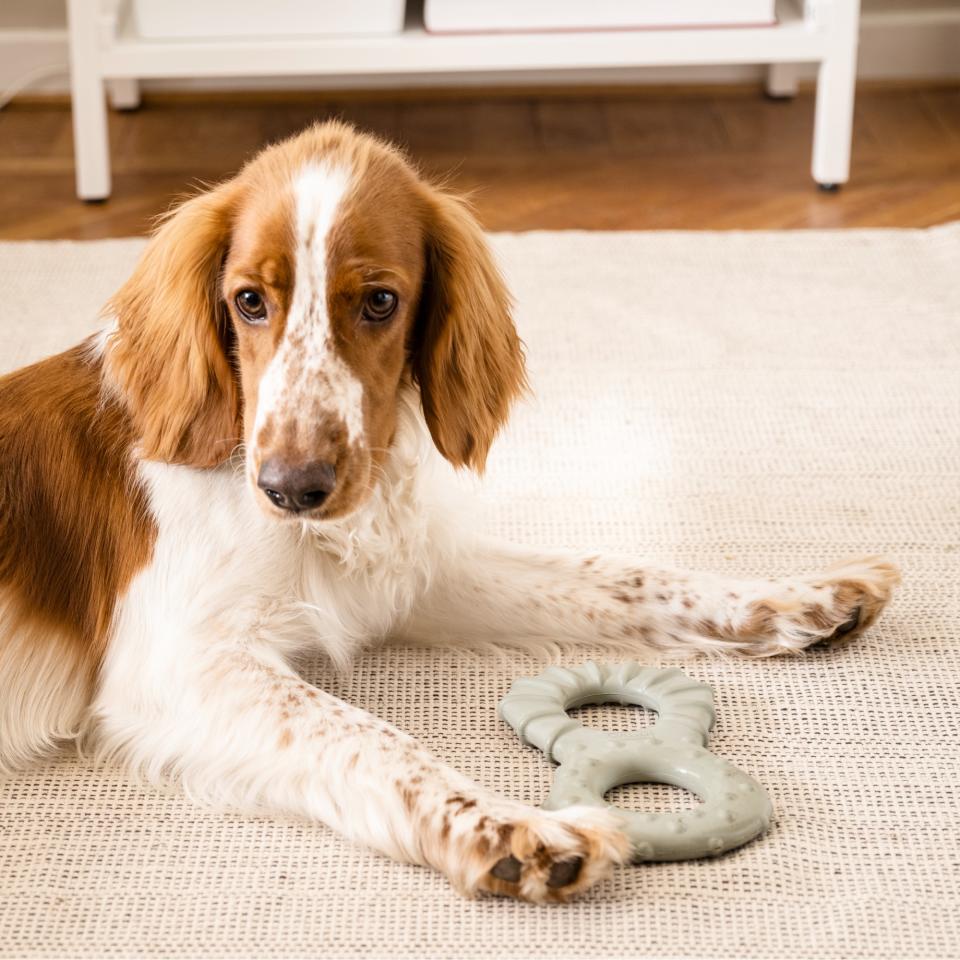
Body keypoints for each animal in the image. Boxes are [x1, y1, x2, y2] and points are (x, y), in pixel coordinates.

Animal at [0, 124, 900, 904]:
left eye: (380, 302)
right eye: (249, 301)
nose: (292, 486)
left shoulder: (408, 578)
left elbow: (616, 574)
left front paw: (794, 596)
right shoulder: (177, 665)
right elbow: (367, 735)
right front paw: (511, 828)